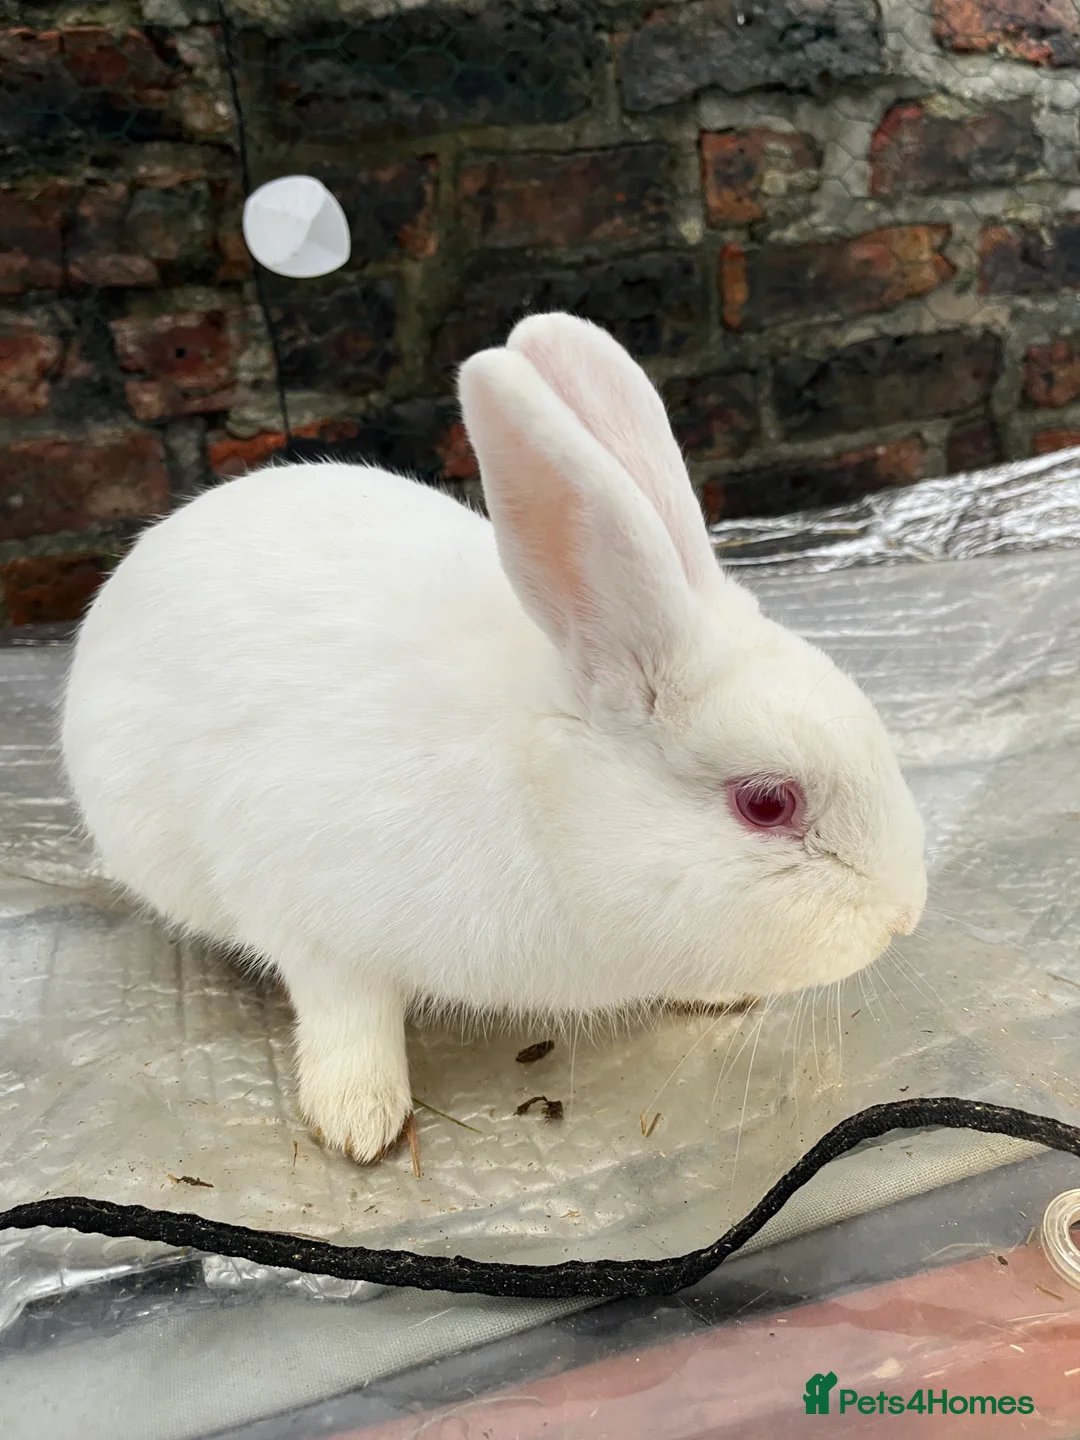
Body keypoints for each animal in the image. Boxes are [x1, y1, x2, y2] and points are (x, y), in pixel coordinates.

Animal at [60, 312, 927, 1164]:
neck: (543, 796)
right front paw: (360, 1120)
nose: (906, 916)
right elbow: (348, 1015)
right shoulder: (308, 912)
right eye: (767, 803)